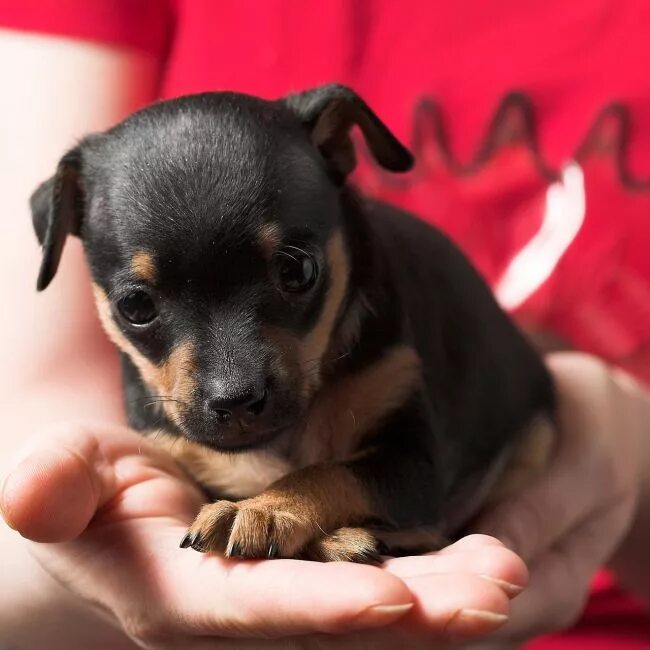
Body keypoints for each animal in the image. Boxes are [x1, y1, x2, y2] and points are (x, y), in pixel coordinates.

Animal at [30, 85, 556, 560]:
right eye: (136, 307)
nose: (236, 400)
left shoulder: (415, 461)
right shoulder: (188, 454)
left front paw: (267, 509)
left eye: (297, 270)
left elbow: (330, 471)